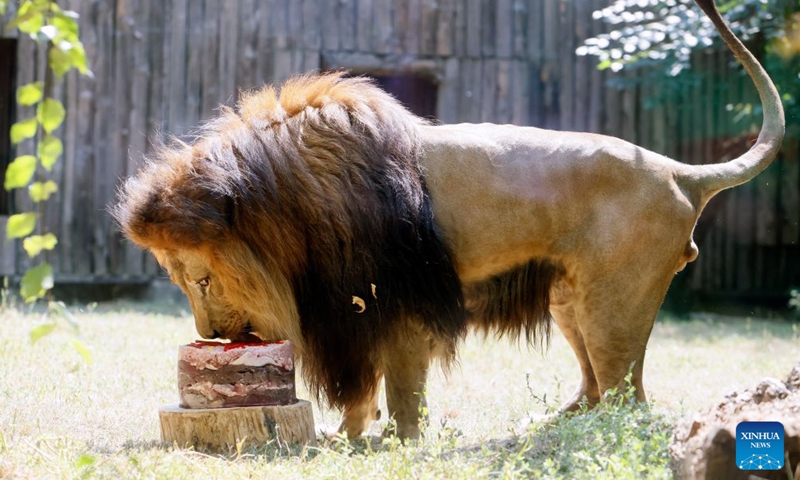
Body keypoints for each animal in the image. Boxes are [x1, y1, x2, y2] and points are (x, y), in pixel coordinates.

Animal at [113, 0, 783, 440]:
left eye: (202, 279)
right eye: (181, 282)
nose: (211, 335)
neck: (290, 211)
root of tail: (678, 170)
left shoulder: (398, 304)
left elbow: (401, 390)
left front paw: (400, 445)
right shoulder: (354, 315)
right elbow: (363, 392)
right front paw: (348, 440)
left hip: (612, 303)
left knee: (630, 399)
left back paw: (585, 440)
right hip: (570, 300)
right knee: (597, 388)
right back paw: (547, 428)